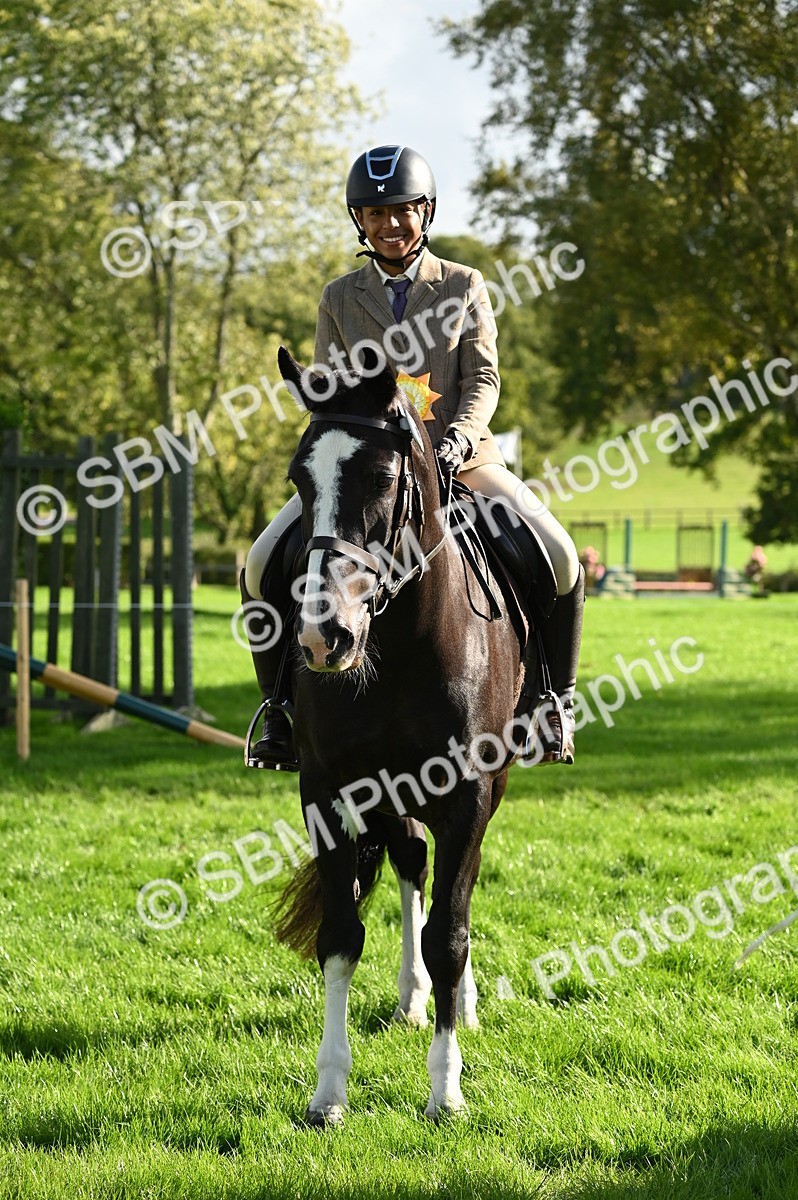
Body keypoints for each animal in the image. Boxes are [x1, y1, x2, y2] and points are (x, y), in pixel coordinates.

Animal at [269, 345, 531, 1125]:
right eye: (299, 479)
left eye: (383, 479)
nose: (323, 638)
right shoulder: (327, 790)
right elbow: (340, 935)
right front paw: (328, 1092)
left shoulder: (468, 794)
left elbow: (450, 933)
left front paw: (446, 1091)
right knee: (414, 863)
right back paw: (412, 998)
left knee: (454, 890)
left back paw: (457, 1003)